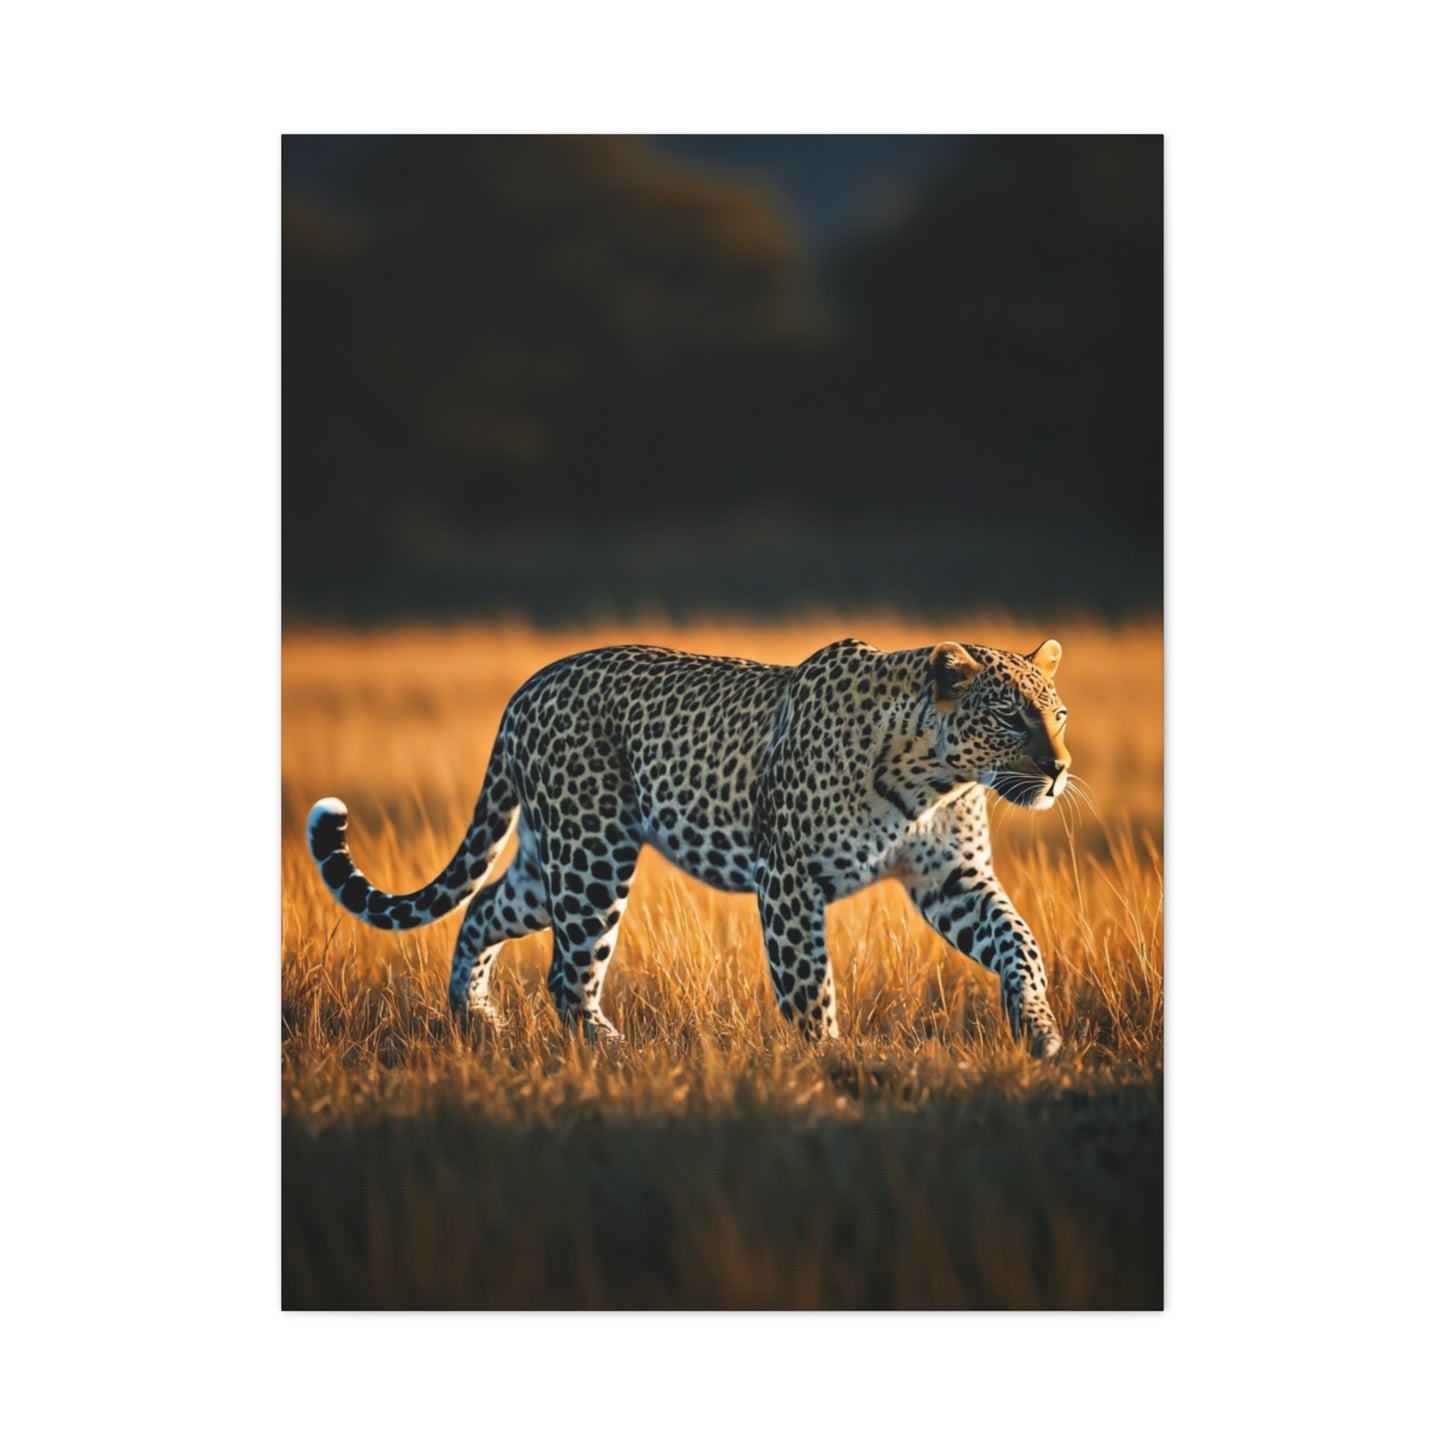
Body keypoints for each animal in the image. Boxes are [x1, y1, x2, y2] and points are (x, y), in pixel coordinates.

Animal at [307, 636, 1073, 1057]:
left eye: (1059, 713)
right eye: (1010, 716)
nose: (1059, 768)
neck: (934, 778)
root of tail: (527, 687)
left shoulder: (954, 879)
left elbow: (1020, 941)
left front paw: (1037, 1027)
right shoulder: (787, 877)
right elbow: (808, 985)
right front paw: (831, 1063)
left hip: (548, 858)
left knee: (483, 907)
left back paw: (476, 1019)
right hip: (593, 851)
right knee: (566, 972)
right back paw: (615, 1055)